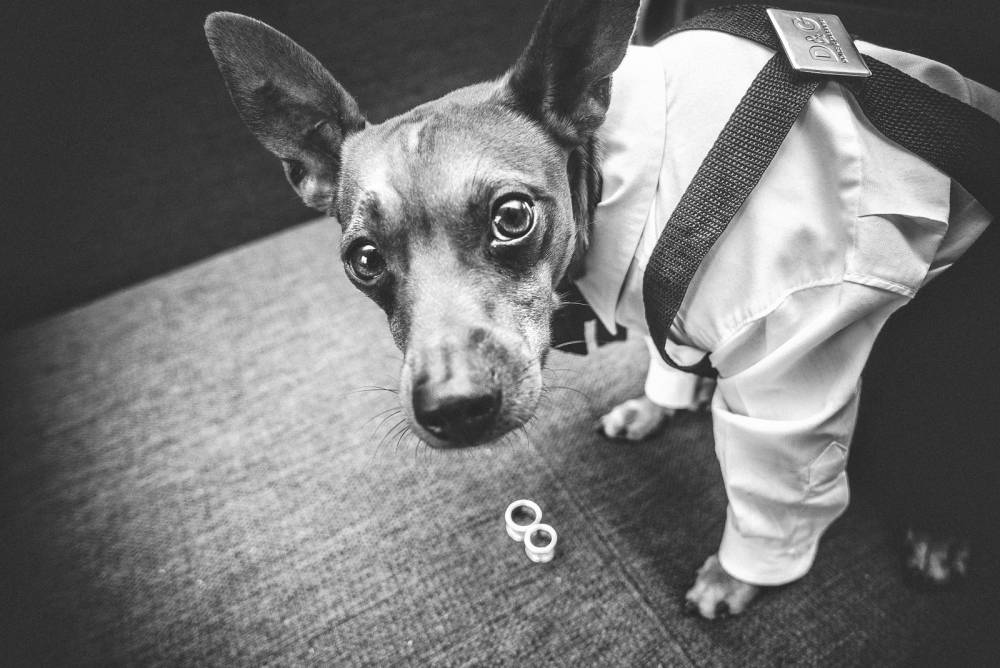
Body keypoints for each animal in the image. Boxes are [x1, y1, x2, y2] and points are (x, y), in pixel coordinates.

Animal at [205, 0, 1000, 619]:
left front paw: (735, 576)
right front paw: (658, 405)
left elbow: (776, 484)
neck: (616, 178)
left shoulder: (790, 376)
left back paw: (939, 533)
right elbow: (665, 361)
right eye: (364, 260)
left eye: (512, 217)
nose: (453, 409)